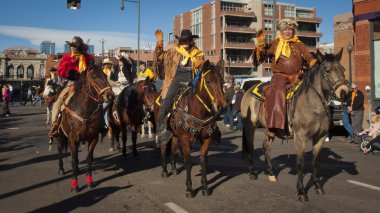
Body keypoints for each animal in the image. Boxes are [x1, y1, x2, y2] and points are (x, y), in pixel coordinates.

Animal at [157, 60, 226, 198]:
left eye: (222, 82)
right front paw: (189, 189)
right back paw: (165, 171)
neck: (197, 111)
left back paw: (174, 169)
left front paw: (205, 187)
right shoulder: (185, 139)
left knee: (173, 149)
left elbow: (203, 161)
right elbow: (188, 161)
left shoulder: (206, 139)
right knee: (163, 147)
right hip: (166, 132)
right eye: (208, 81)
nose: (222, 106)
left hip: (175, 134)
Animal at [242, 50, 348, 201]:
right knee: (250, 146)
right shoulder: (300, 137)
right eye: (328, 70)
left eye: (343, 69)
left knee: (266, 147)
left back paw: (271, 173)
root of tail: (248, 90)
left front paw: (318, 186)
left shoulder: (320, 137)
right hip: (250, 126)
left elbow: (316, 162)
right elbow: (300, 163)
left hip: (270, 129)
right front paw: (301, 192)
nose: (345, 92)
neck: (313, 104)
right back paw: (252, 173)